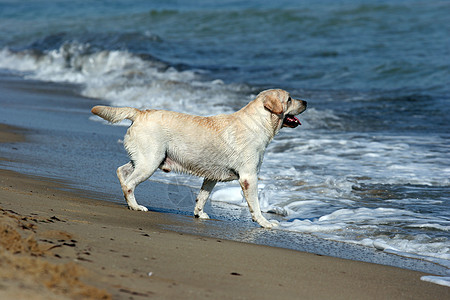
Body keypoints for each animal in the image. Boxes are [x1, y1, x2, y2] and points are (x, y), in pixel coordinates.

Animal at [93, 88, 308, 227]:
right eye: (290, 99)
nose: (306, 102)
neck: (259, 122)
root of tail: (140, 113)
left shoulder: (211, 176)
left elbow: (202, 196)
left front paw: (199, 213)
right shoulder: (249, 177)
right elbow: (255, 204)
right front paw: (265, 223)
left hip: (145, 159)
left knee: (122, 171)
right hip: (150, 162)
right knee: (130, 183)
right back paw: (135, 206)